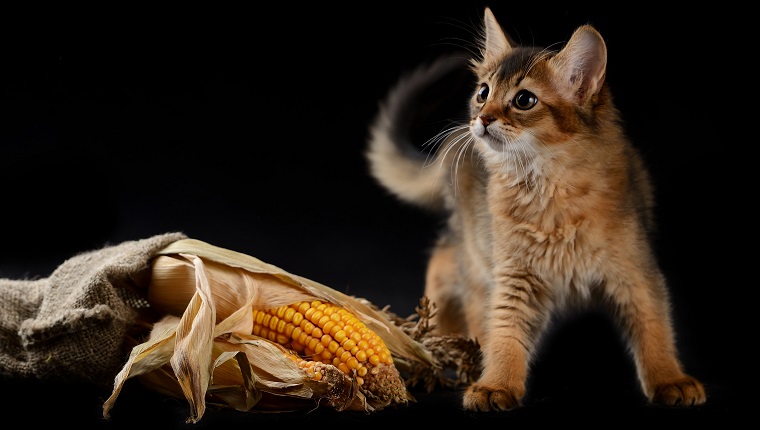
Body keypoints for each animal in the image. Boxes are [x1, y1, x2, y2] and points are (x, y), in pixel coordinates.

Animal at [366, 6, 704, 410]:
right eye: (483, 93)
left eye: (524, 100)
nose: (481, 119)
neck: (547, 188)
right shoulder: (512, 275)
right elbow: (505, 330)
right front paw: (495, 385)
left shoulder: (636, 269)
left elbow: (655, 328)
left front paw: (671, 379)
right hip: (476, 246)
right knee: (449, 265)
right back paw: (442, 344)